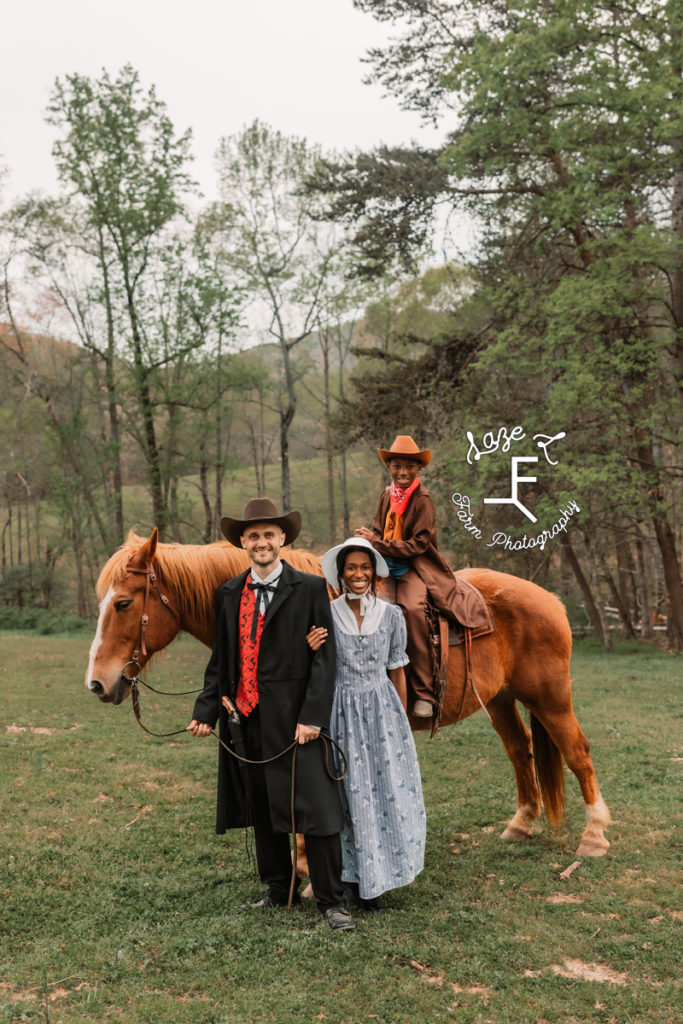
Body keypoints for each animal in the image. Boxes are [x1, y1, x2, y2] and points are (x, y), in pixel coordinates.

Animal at [87, 528, 614, 856]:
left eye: (123, 603)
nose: (97, 682)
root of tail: (550, 599)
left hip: (551, 698)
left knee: (578, 752)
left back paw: (594, 836)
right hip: (502, 699)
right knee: (521, 751)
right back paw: (521, 824)